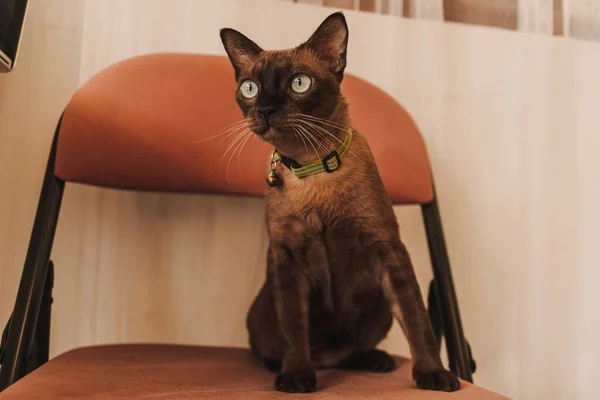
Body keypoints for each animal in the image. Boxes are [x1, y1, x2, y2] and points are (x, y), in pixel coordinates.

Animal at [220, 11, 460, 394]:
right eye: (250, 88)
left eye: (299, 83)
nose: (266, 109)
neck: (313, 169)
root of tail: (326, 359)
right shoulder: (287, 256)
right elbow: (294, 327)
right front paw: (296, 377)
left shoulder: (387, 246)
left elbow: (416, 319)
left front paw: (433, 375)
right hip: (261, 310)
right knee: (275, 348)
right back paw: (287, 368)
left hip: (379, 302)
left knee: (353, 350)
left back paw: (377, 360)